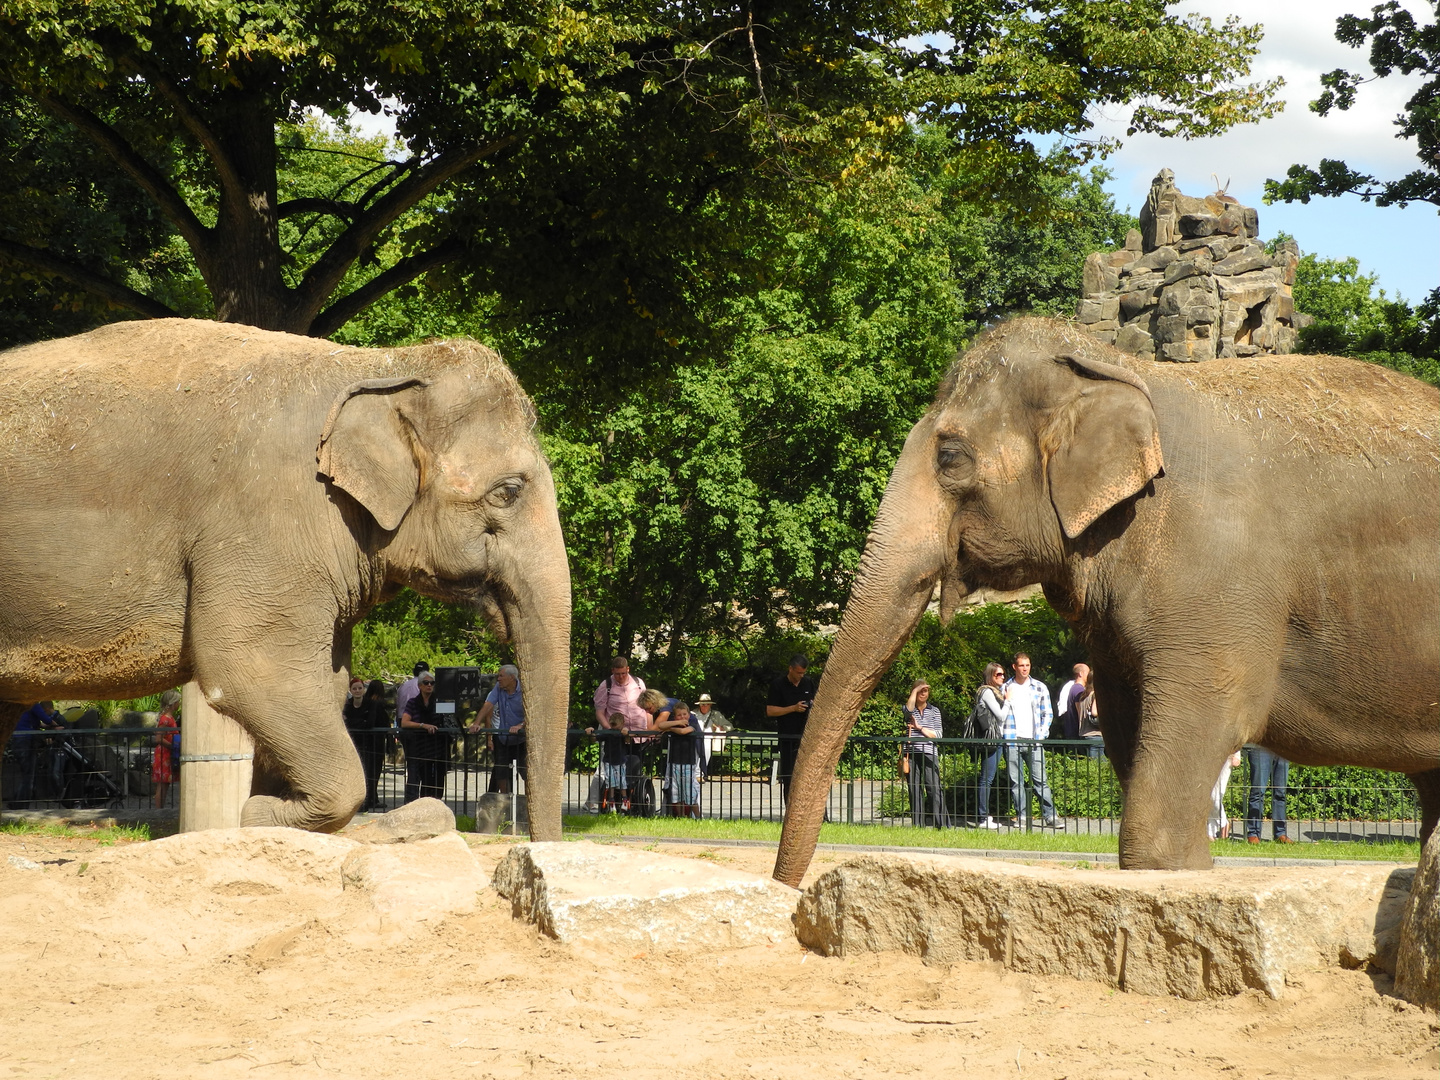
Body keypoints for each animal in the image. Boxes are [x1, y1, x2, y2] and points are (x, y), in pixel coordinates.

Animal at [0, 316, 573, 840]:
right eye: (508, 492)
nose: (531, 848)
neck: (381, 364)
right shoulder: (266, 518)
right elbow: (250, 666)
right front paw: (258, 815)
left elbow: (327, 681)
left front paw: (266, 812)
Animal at [777, 315, 1440, 887]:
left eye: (949, 457)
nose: (788, 890)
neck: (1118, 365)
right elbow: (1128, 740)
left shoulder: (1217, 584)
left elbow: (1166, 804)